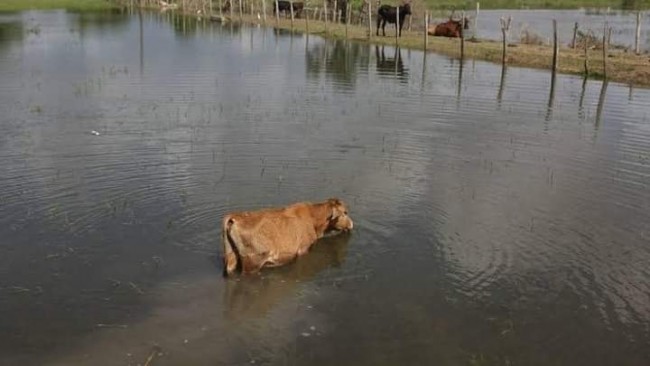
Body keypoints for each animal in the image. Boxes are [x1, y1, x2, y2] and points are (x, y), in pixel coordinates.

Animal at [220, 199, 352, 276]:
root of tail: (234, 218)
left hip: (231, 257)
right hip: (253, 262)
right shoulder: (303, 249)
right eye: (345, 212)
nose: (351, 224)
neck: (314, 221)